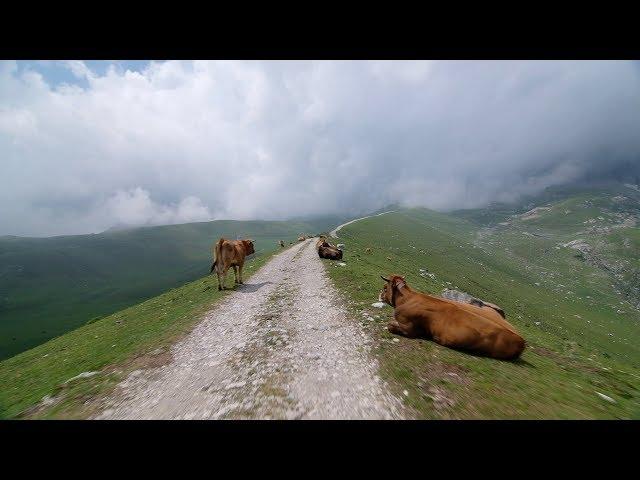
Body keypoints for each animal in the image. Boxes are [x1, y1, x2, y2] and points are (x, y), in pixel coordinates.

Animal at [378, 274, 524, 360]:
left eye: (385, 287)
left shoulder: (409, 328)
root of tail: (521, 340)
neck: (407, 299)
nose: (379, 295)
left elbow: (390, 325)